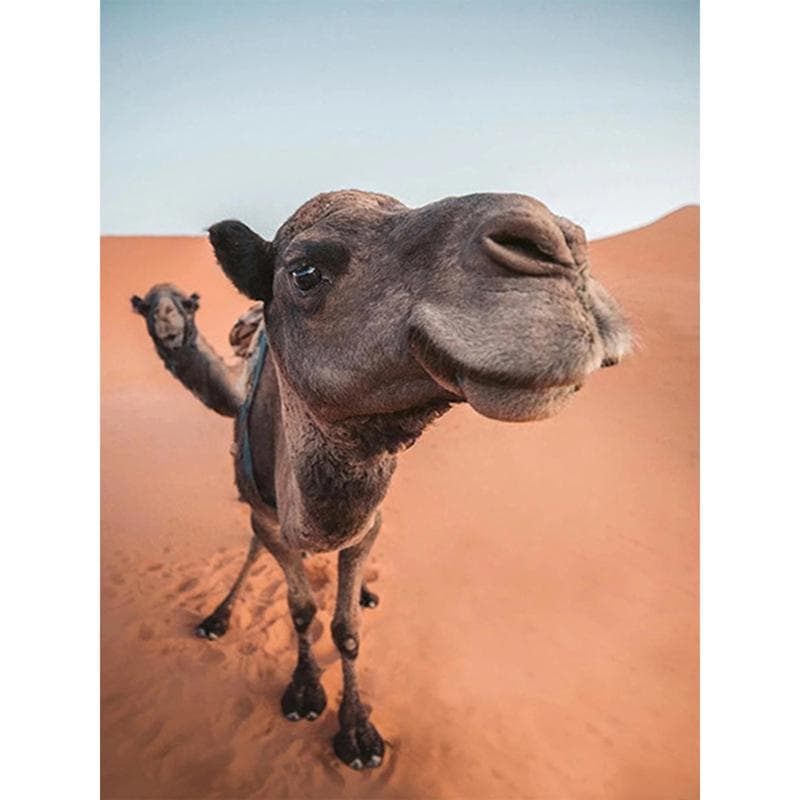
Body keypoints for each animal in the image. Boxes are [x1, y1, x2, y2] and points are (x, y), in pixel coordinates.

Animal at [131, 189, 631, 770]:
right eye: (304, 272)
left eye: (184, 307)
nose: (562, 245)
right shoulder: (269, 516)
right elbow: (300, 608)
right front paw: (304, 692)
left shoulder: (365, 523)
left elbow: (347, 630)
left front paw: (358, 732)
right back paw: (218, 616)